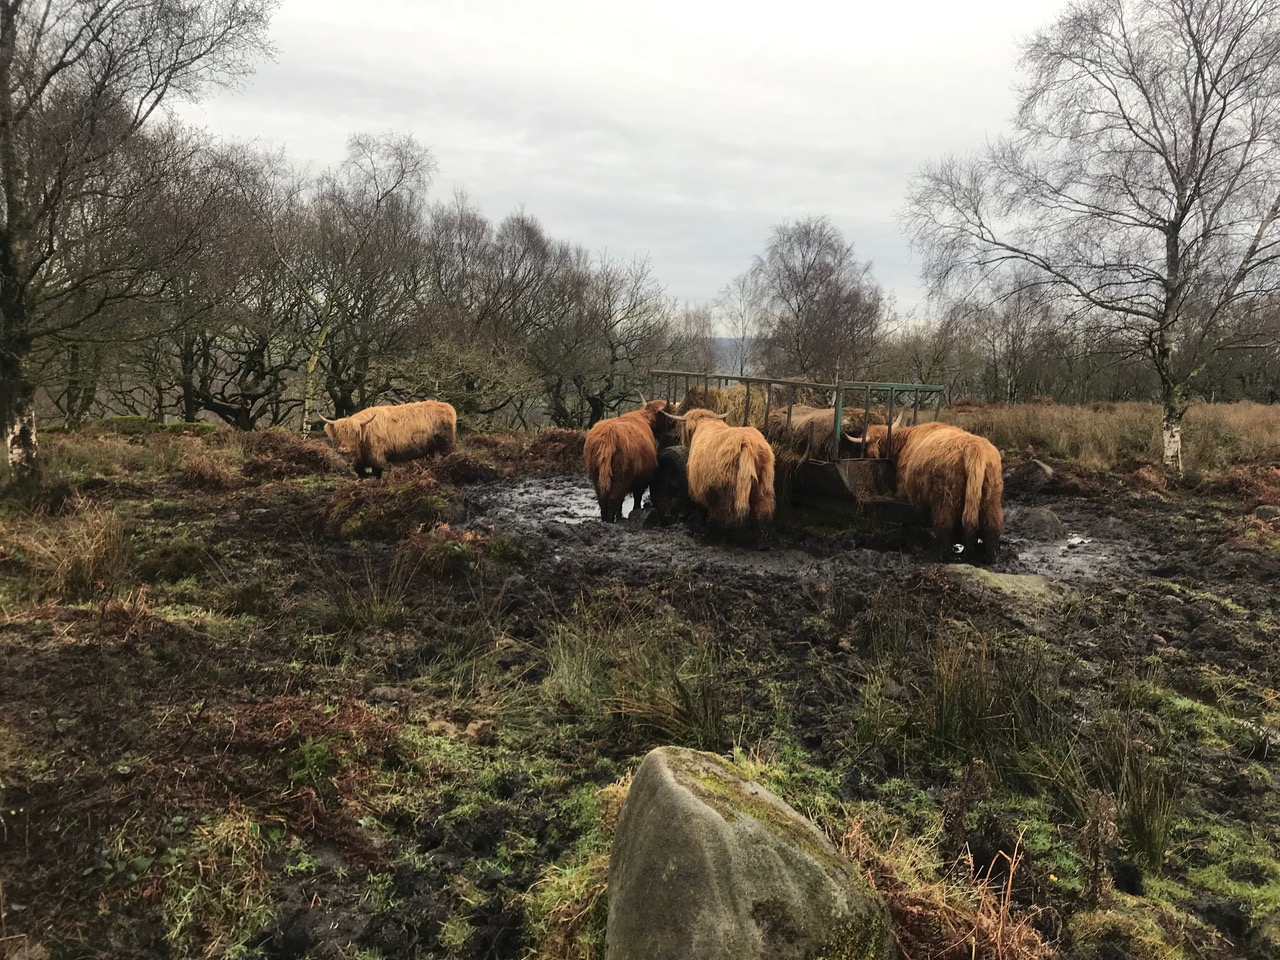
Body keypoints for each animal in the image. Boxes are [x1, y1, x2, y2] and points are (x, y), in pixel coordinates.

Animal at [322, 400, 457, 479]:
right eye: (338, 433)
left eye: (355, 433)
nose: (343, 449)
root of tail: (448, 407)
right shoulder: (359, 463)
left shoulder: (377, 458)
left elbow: (378, 474)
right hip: (431, 449)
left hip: (447, 444)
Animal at [849, 421, 1003, 563]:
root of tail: (974, 447)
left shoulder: (903, 492)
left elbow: (905, 519)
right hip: (991, 497)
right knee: (992, 525)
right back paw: (991, 557)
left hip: (945, 498)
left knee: (944, 526)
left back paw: (938, 556)